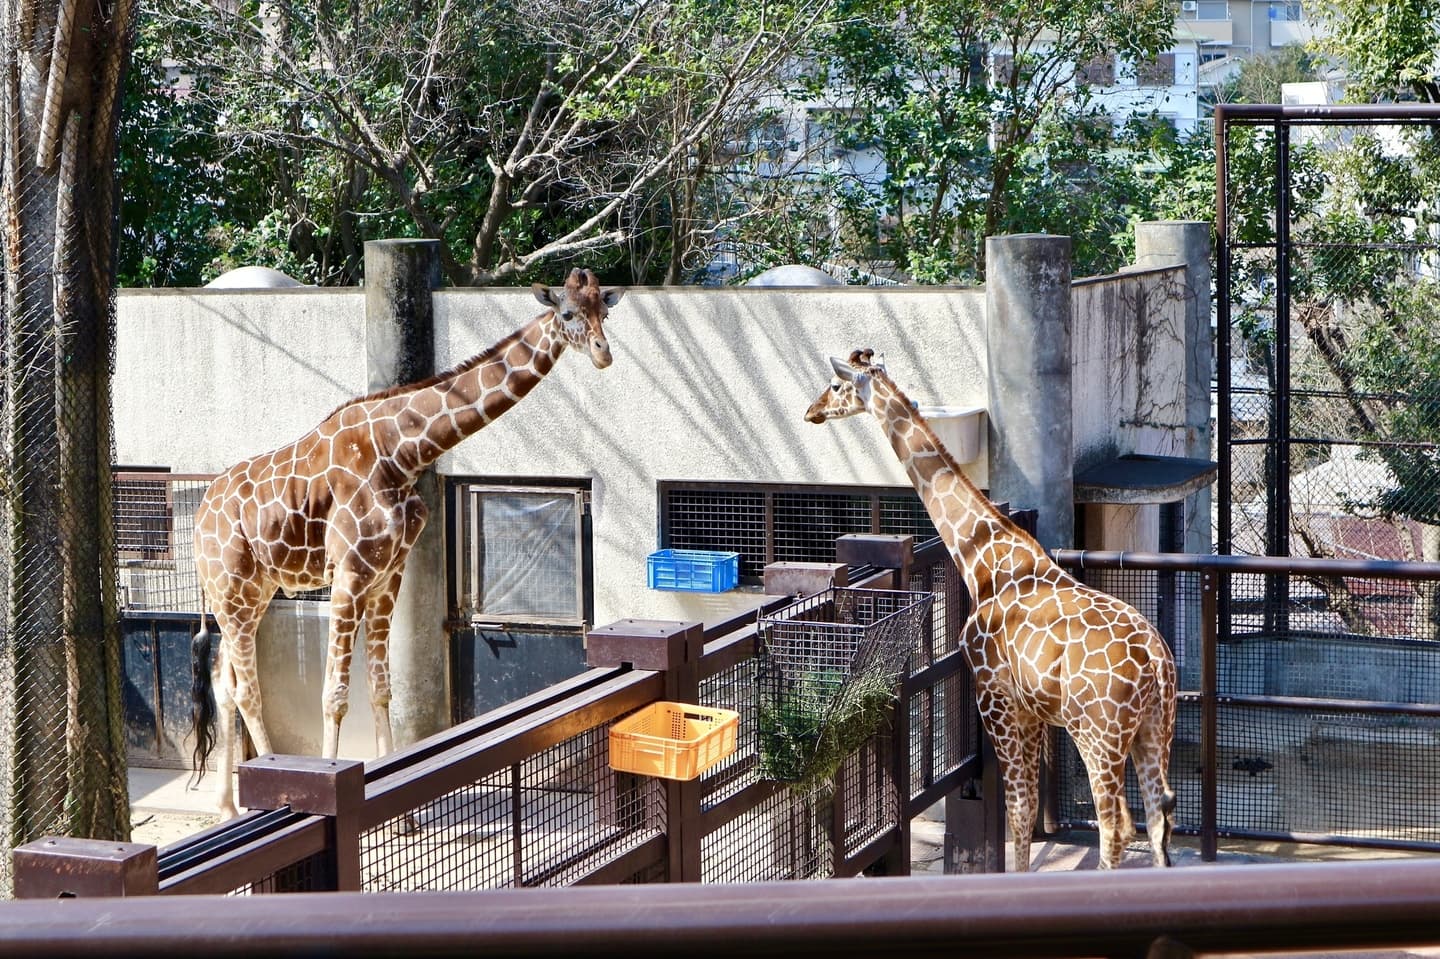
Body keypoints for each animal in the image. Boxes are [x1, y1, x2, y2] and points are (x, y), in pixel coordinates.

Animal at [188, 266, 622, 812]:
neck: (403, 453)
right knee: (246, 690)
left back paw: (227, 805)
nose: (605, 354)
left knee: (224, 682)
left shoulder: (388, 574)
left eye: (604, 310)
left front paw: (404, 818)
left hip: (254, 592)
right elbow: (334, 696)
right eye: (567, 312)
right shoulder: (349, 575)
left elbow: (381, 689)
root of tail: (199, 516)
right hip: (232, 590)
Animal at [806, 349, 1175, 863]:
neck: (982, 558)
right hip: (1155, 728)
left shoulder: (993, 692)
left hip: (1098, 733)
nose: (811, 411)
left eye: (836, 385)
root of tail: (1157, 663)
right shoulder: (1033, 708)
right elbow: (1029, 803)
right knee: (1160, 819)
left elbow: (1017, 808)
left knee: (1117, 825)